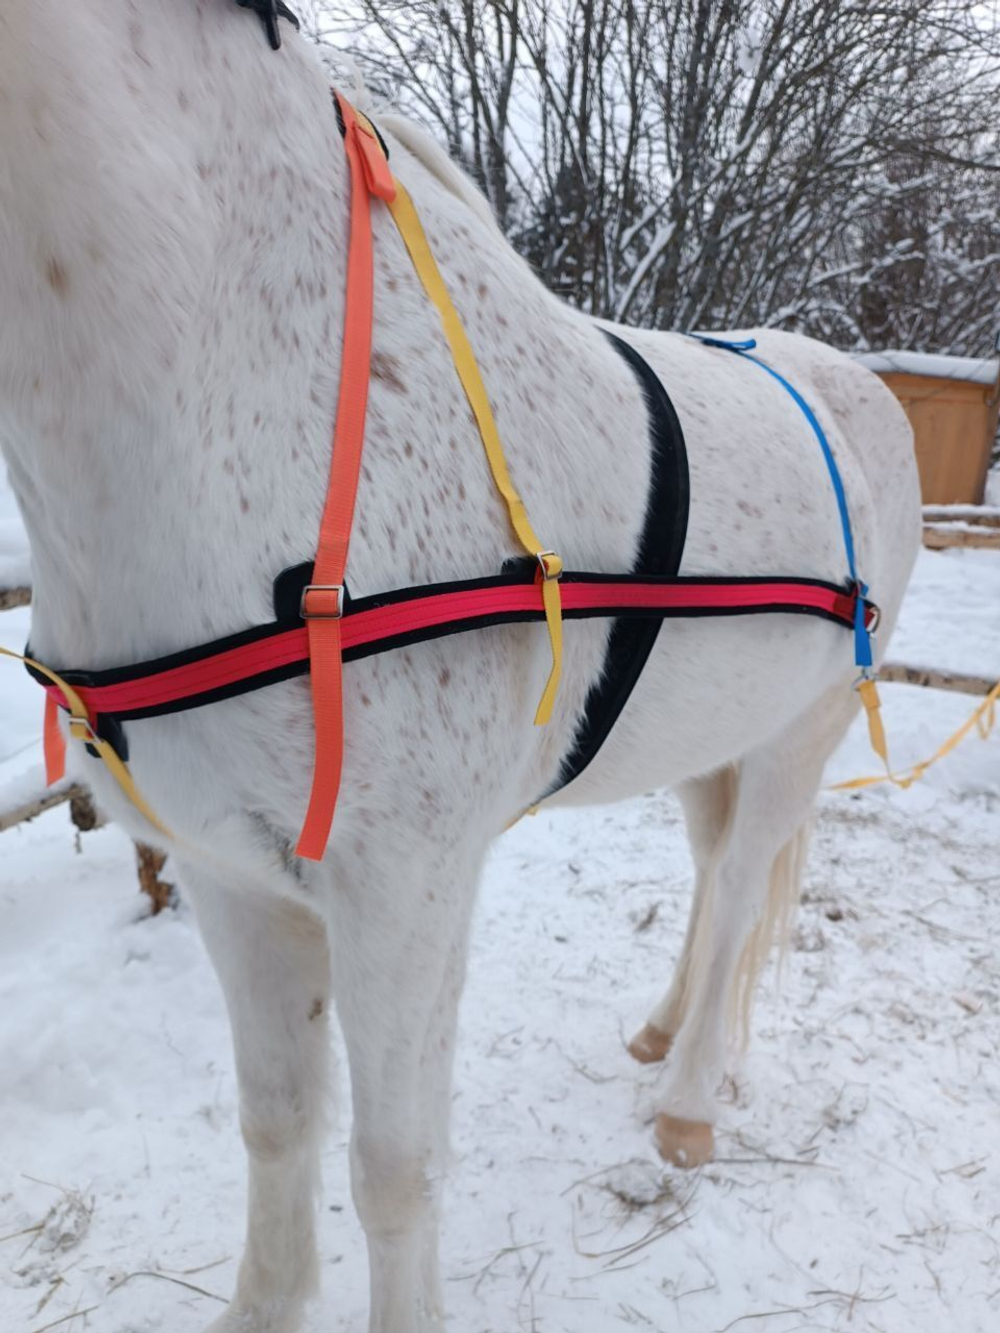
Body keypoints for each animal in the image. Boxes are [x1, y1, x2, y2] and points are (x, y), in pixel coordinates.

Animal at [0, 2, 921, 1330]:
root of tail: (857, 386)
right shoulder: (229, 870)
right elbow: (276, 1121)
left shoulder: (404, 886)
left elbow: (393, 1167)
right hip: (714, 736)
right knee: (710, 877)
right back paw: (659, 1032)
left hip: (803, 733)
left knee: (746, 882)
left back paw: (687, 1105)